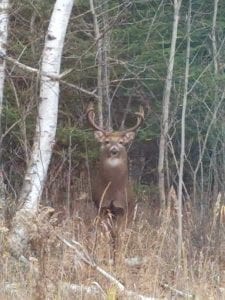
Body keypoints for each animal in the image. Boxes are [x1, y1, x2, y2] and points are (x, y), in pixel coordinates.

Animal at [86, 103, 144, 262]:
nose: (113, 150)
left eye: (121, 142)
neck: (113, 189)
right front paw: (107, 256)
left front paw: (117, 257)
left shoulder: (123, 208)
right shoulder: (102, 207)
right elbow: (105, 234)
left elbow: (118, 235)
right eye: (106, 141)